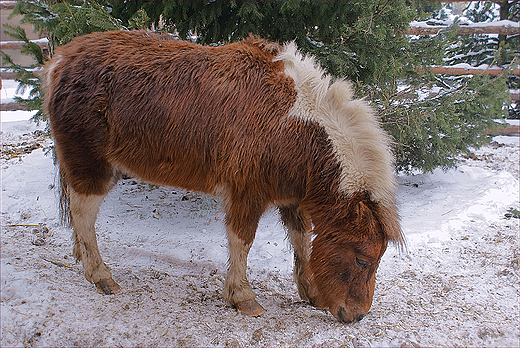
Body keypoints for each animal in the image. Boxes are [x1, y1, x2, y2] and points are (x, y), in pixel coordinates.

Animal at [43, 32, 402, 324]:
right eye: (362, 259)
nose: (356, 315)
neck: (293, 124)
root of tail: (60, 60)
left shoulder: (293, 197)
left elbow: (301, 239)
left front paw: (310, 291)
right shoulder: (247, 192)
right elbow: (242, 241)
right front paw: (242, 297)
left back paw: (82, 259)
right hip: (91, 165)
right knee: (84, 214)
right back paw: (100, 275)